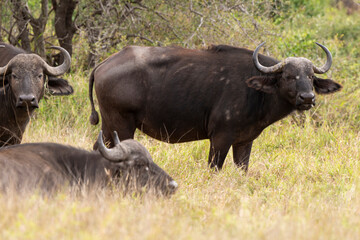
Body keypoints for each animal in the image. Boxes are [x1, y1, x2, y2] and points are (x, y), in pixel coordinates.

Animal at [88, 42, 342, 171]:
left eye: (310, 76)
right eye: (289, 76)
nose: (307, 98)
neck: (255, 90)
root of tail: (103, 64)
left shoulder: (244, 141)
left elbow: (242, 170)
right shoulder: (220, 138)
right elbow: (214, 168)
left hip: (110, 127)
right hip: (121, 125)